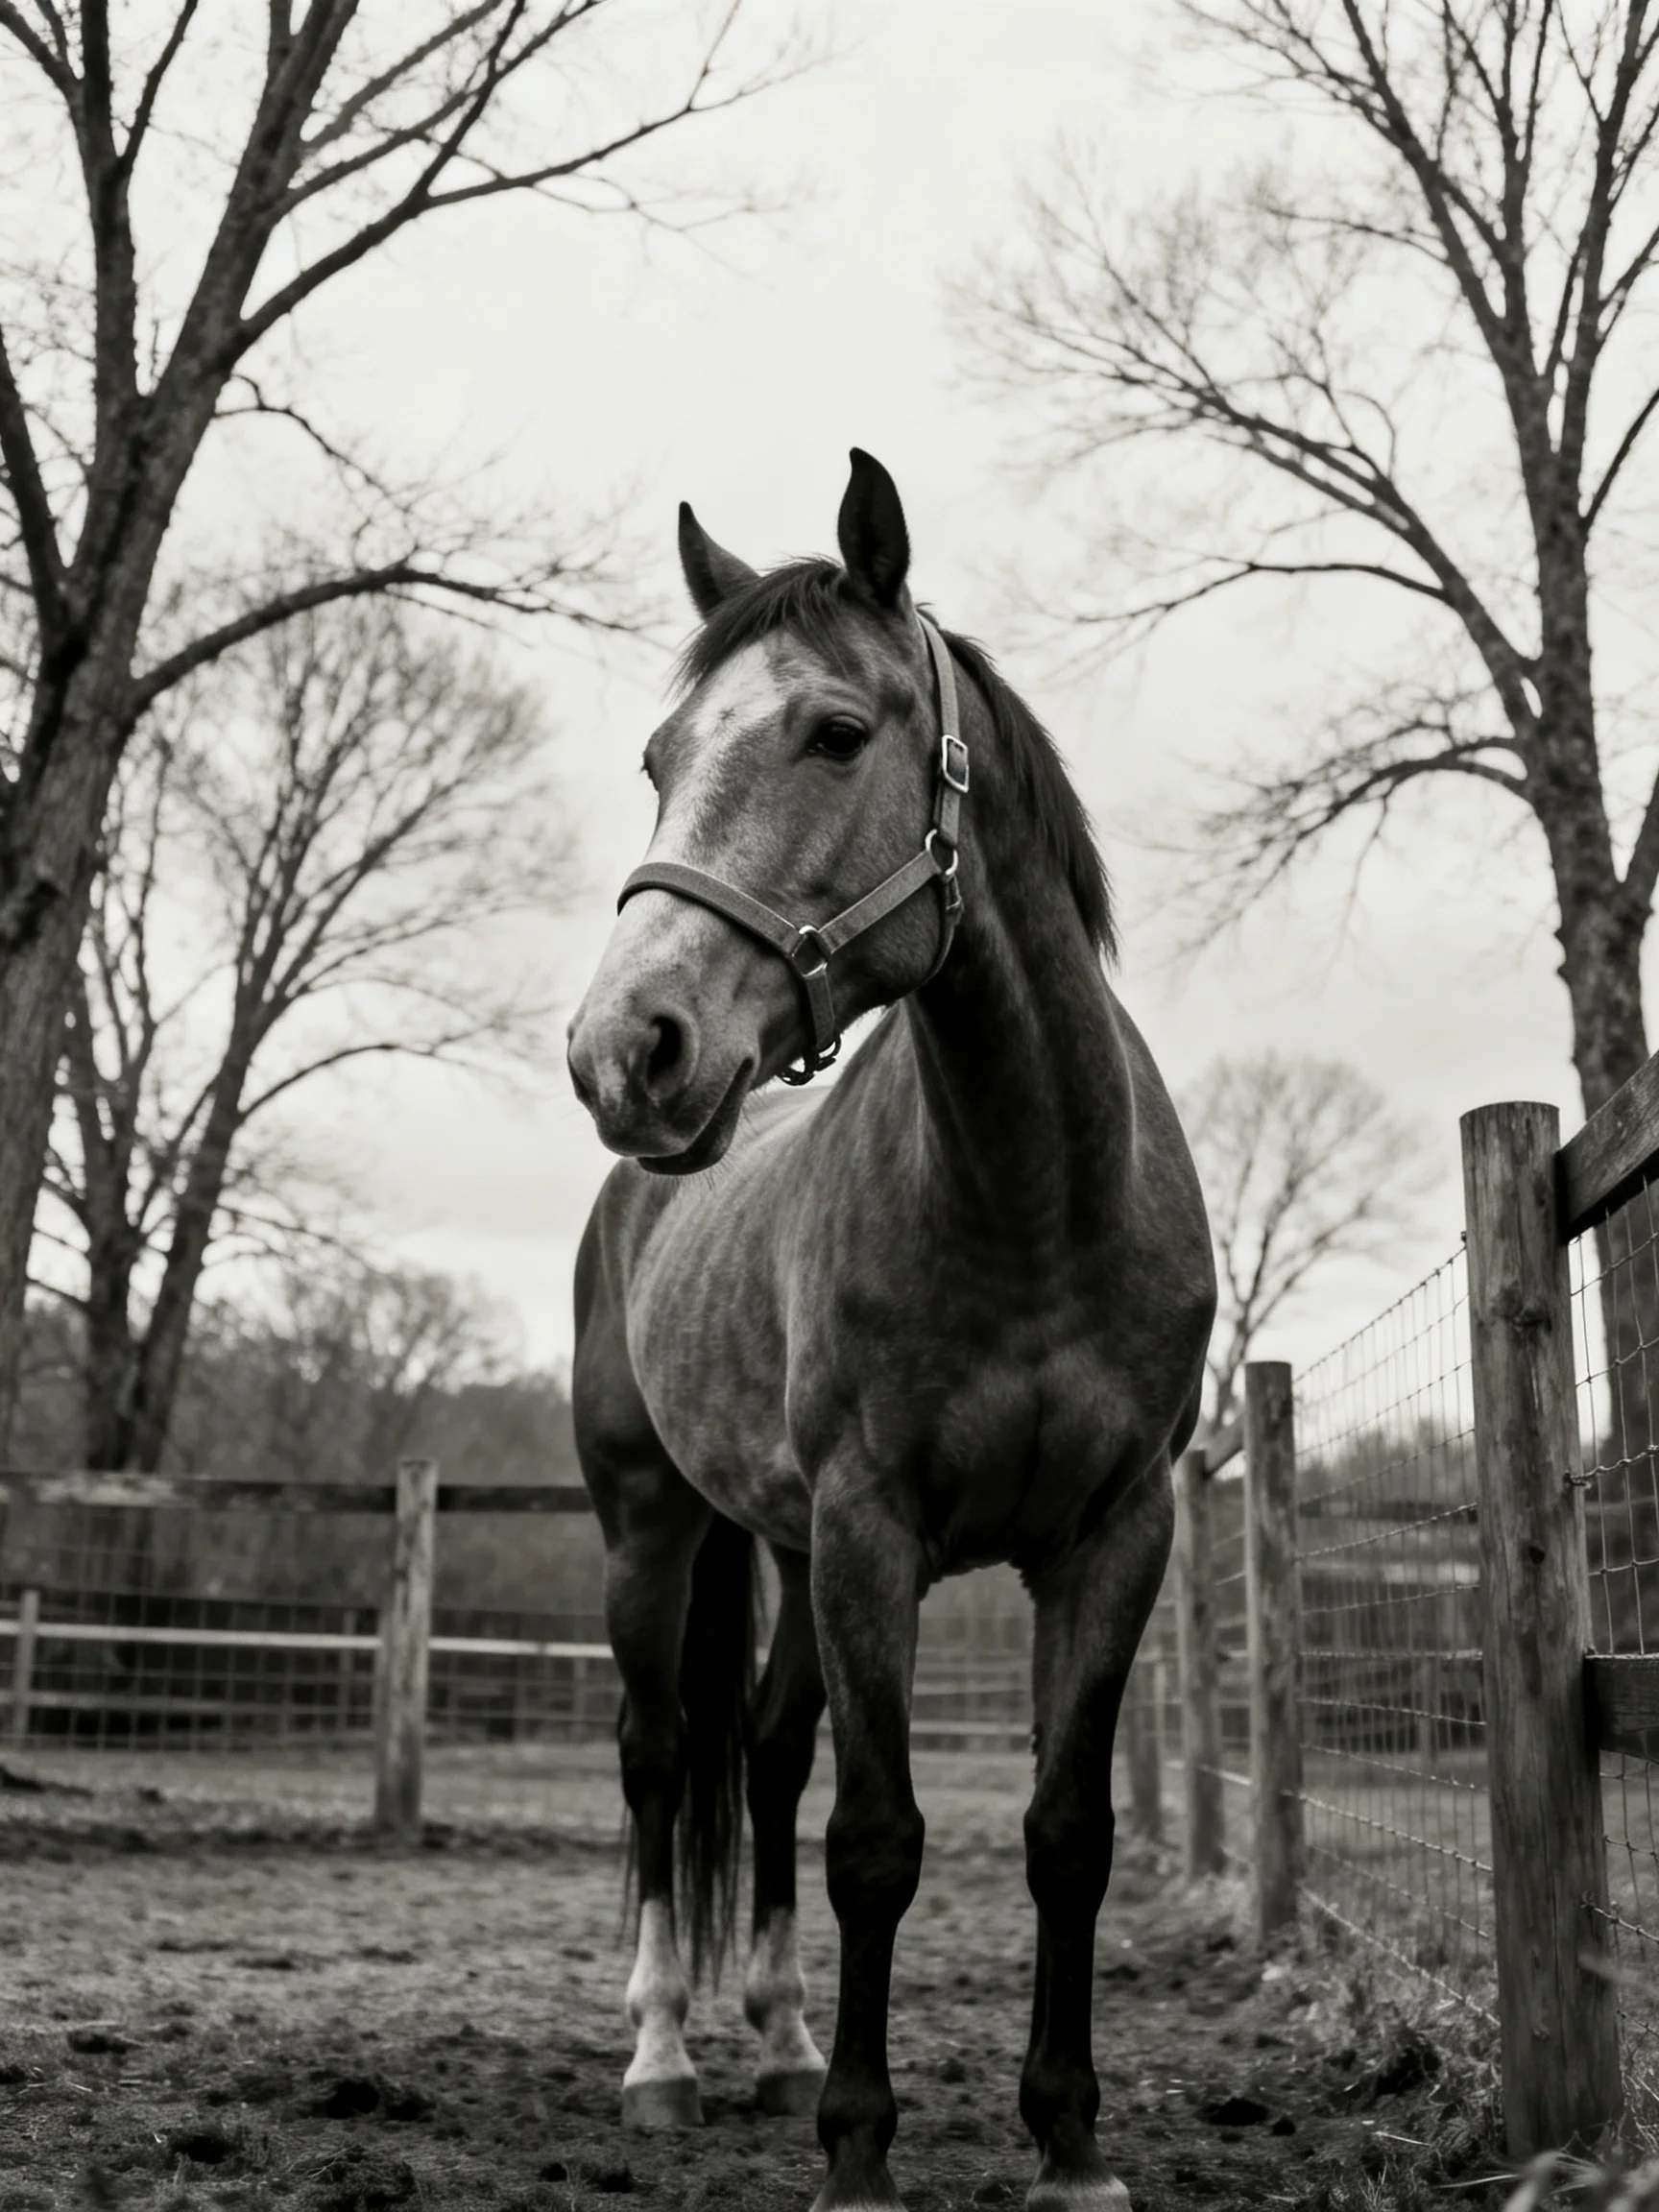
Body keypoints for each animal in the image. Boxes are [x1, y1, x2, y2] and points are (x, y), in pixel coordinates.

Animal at [566, 451, 1213, 2212]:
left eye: (835, 733)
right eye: (657, 758)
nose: (625, 1050)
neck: (1035, 1196)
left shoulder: (1112, 1534)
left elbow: (1063, 1833)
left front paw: (1068, 2139)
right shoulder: (873, 1528)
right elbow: (877, 1839)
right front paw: (856, 2150)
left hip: (783, 1553)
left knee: (767, 1747)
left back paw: (781, 2041)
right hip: (654, 1528)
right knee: (663, 1755)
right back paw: (662, 2056)